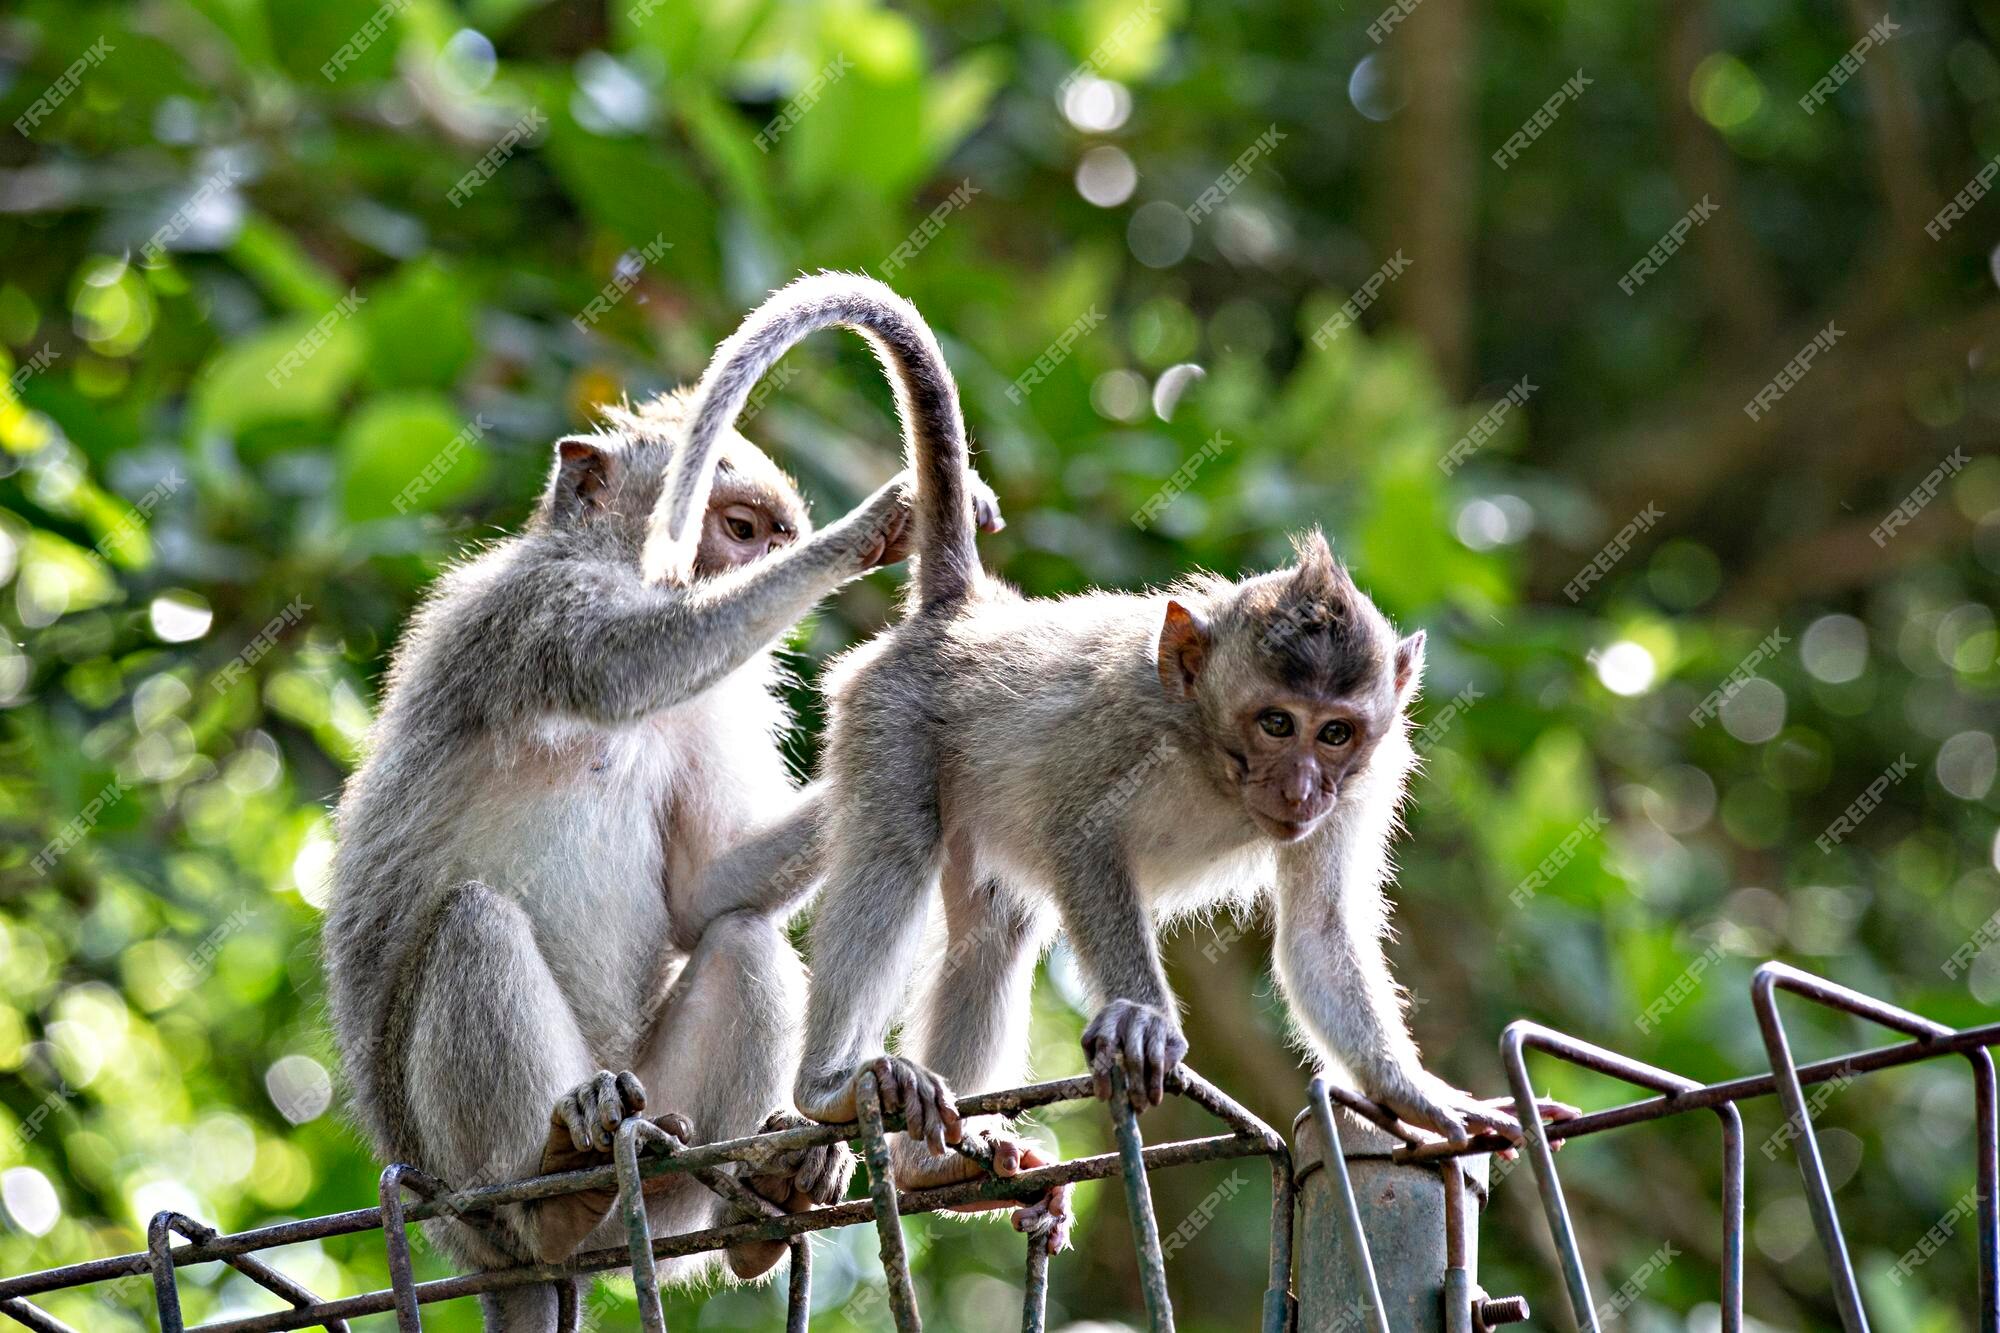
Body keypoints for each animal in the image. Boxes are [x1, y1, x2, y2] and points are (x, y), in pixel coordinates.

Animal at [330, 274, 1008, 1320]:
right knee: (473, 924)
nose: (750, 561)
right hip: (463, 1181)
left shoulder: (710, 706)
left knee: (742, 940)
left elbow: (703, 895)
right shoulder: (528, 610)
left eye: (766, 534)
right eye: (739, 527)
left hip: (666, 1130)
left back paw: (759, 1201)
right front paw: (875, 524)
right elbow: (621, 666)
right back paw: (552, 1196)